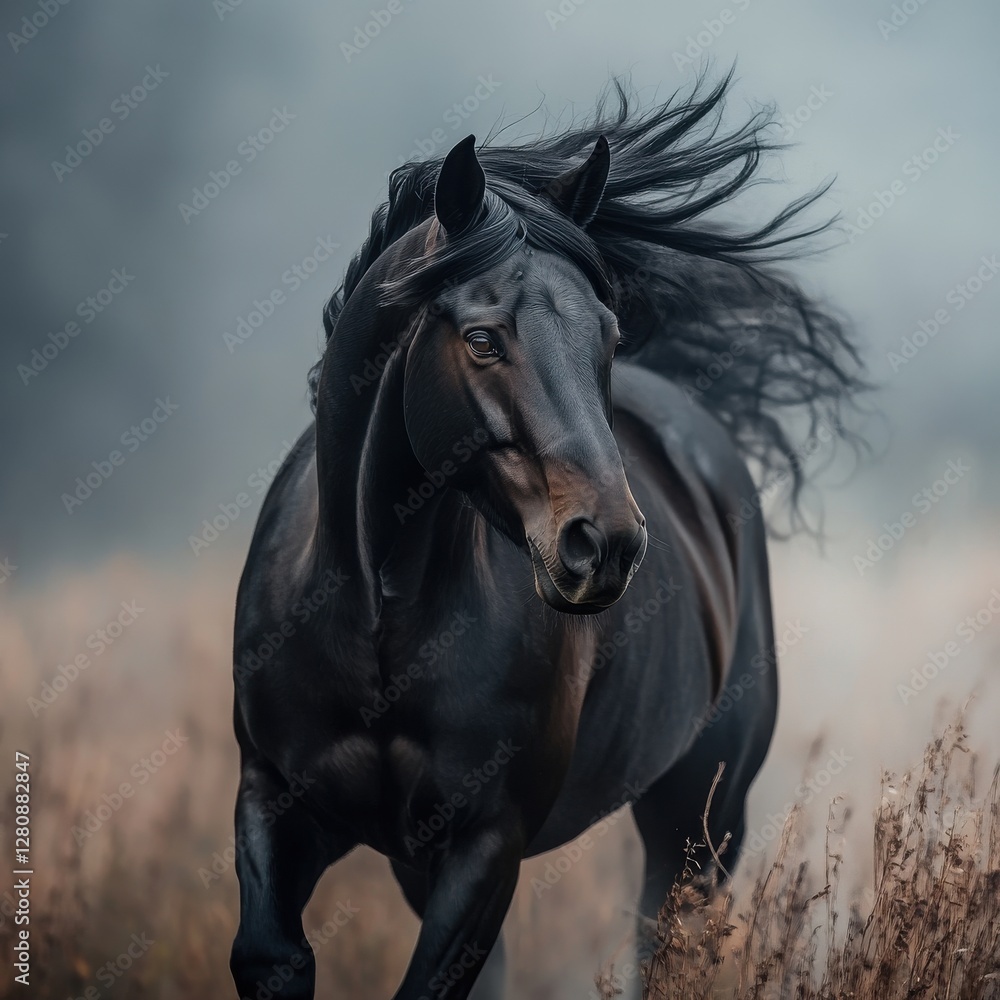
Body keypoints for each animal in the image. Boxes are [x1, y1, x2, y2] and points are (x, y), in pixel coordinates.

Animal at [229, 74, 864, 1000]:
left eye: (608, 334)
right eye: (482, 338)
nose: (606, 544)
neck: (376, 622)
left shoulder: (487, 844)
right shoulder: (276, 803)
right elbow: (272, 958)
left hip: (699, 821)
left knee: (661, 945)